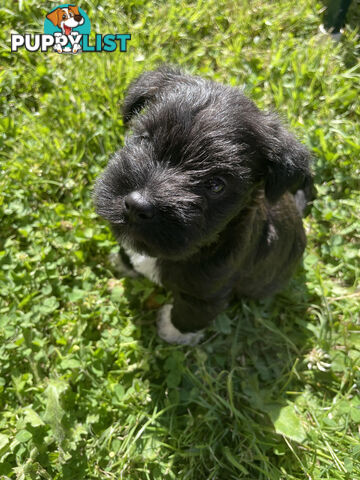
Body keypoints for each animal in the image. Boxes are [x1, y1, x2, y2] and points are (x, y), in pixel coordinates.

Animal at [94, 66, 314, 344]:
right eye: (144, 139)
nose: (136, 205)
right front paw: (124, 262)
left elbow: (188, 315)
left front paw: (172, 331)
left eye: (216, 185)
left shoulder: (206, 295)